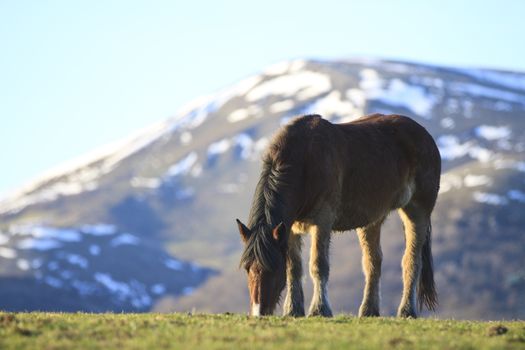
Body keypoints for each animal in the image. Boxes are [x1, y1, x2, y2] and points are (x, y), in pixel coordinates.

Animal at [235, 114, 440, 318]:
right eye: (247, 268)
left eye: (273, 267)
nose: (258, 312)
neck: (304, 161)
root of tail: (426, 136)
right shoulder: (290, 228)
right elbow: (294, 268)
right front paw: (293, 310)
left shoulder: (322, 222)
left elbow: (318, 265)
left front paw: (319, 309)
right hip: (372, 219)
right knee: (373, 263)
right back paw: (369, 310)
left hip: (417, 211)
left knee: (412, 261)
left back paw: (407, 310)